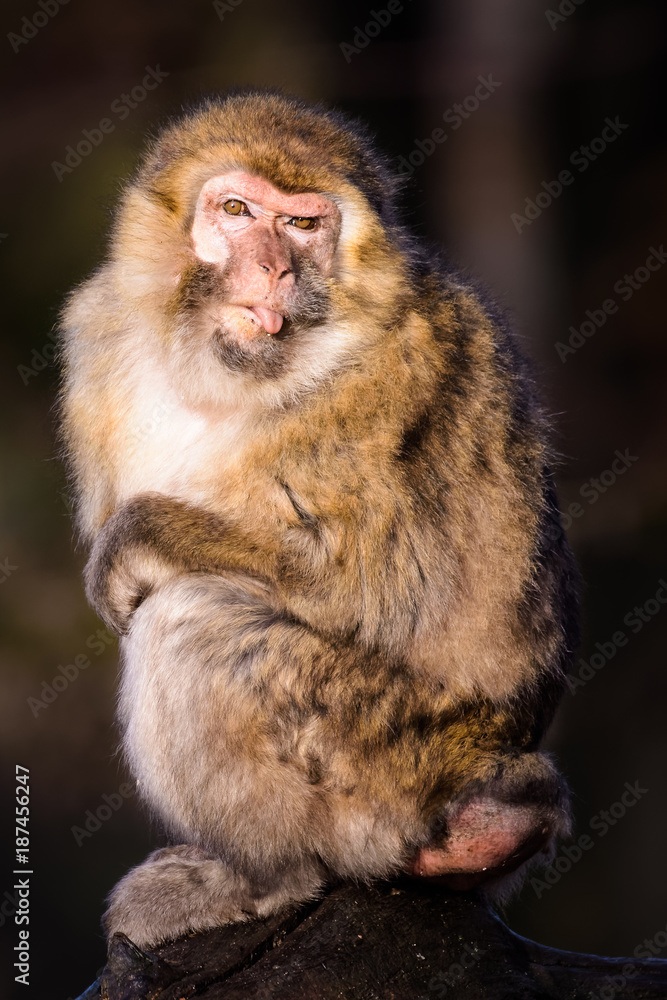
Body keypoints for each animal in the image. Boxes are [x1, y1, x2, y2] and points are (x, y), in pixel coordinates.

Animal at [58, 91, 580, 950]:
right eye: (236, 211)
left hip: (387, 762)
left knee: (192, 622)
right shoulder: (99, 337)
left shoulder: (391, 378)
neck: (222, 373)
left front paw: (137, 537)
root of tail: (490, 776)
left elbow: (378, 593)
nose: (272, 265)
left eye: (303, 224)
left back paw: (269, 878)